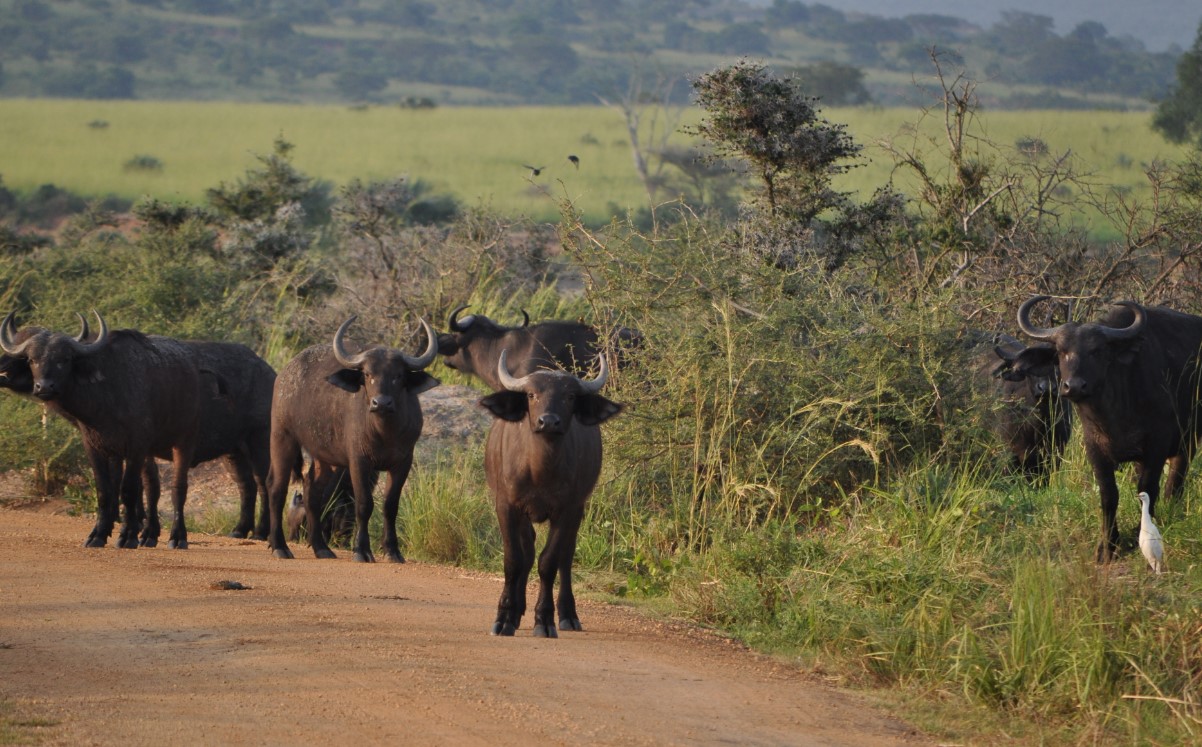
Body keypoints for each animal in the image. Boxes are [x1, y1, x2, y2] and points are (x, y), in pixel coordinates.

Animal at [0, 307, 201, 548]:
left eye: (64, 359)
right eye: (31, 359)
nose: (44, 387)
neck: (107, 394)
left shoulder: (136, 447)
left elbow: (129, 489)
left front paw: (128, 536)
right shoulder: (97, 447)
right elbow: (106, 490)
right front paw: (99, 533)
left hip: (184, 441)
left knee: (178, 488)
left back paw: (177, 537)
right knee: (153, 483)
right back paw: (150, 534)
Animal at [480, 348, 625, 635]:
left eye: (569, 396)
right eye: (531, 394)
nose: (548, 422)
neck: (540, 470)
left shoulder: (567, 510)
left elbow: (549, 563)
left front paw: (544, 620)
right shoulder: (507, 506)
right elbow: (513, 560)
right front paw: (504, 617)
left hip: (578, 511)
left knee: (565, 558)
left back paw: (568, 615)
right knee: (527, 552)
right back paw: (516, 612)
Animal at [1014, 295, 1202, 558]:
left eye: (1097, 351)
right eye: (1061, 351)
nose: (1074, 386)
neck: (1114, 411)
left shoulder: (1157, 444)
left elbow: (1147, 488)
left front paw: (1139, 533)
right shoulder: (1095, 447)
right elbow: (1108, 493)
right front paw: (1107, 545)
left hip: (1189, 438)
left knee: (1176, 477)